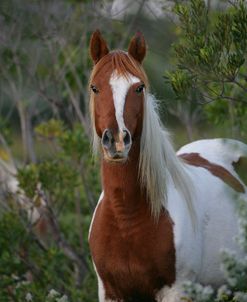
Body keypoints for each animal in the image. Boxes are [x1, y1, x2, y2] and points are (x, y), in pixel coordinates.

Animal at [88, 31, 246, 302]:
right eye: (95, 87)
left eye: (139, 88)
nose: (116, 140)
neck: (125, 217)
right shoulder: (111, 292)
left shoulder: (176, 290)